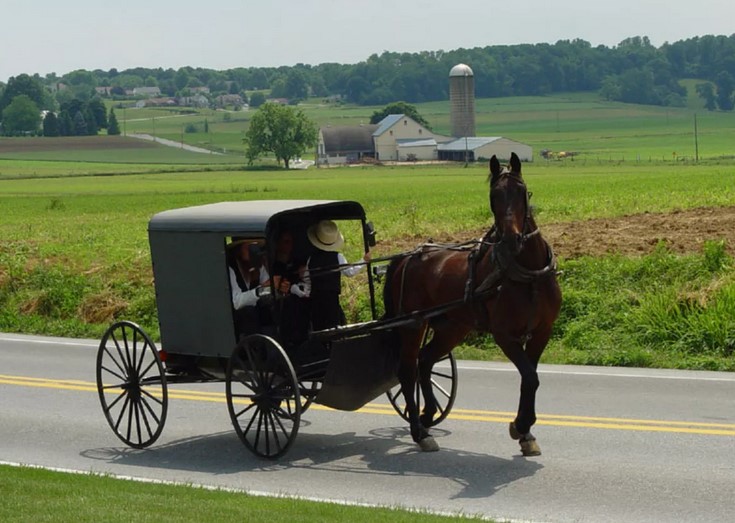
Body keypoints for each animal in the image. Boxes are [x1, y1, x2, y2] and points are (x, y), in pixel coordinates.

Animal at [383, 152, 562, 455]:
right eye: (493, 195)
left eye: (522, 191)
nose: (511, 239)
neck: (528, 275)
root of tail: (407, 257)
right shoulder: (504, 335)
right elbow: (530, 376)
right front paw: (521, 426)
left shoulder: (542, 331)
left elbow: (531, 378)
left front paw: (525, 432)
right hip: (413, 324)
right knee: (407, 370)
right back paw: (420, 432)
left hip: (451, 327)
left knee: (425, 360)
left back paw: (427, 414)